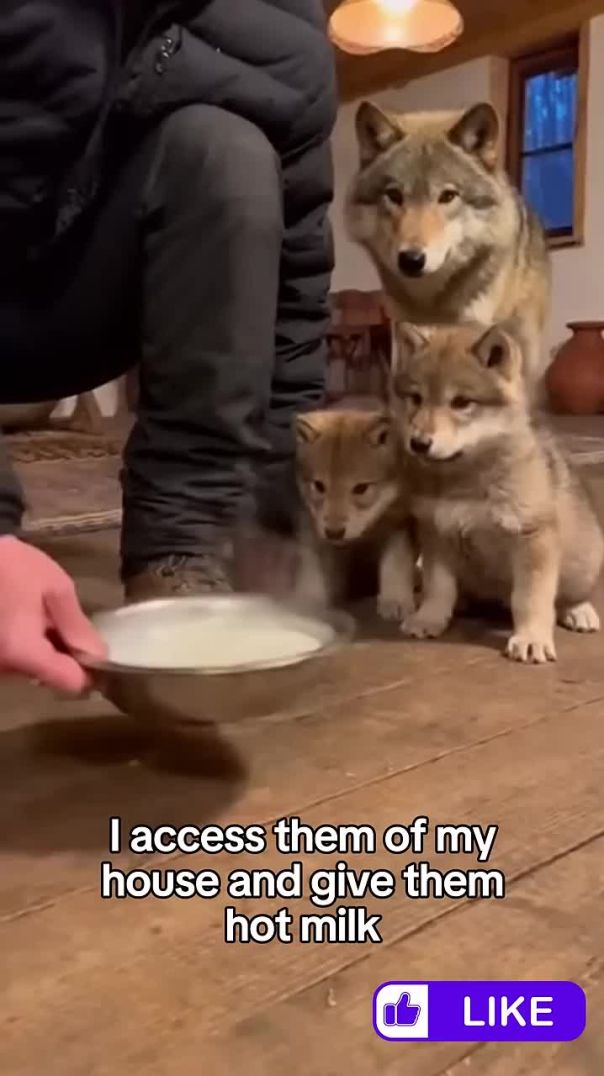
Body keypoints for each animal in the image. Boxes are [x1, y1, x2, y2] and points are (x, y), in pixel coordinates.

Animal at [294, 409, 416, 618]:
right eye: (319, 486)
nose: (334, 532)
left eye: (361, 488)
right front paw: (309, 602)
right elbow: (313, 570)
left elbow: (395, 564)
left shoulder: (399, 523)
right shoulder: (312, 526)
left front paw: (396, 600)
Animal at [390, 322, 603, 663]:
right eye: (416, 398)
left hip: (582, 562)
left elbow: (531, 598)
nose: (419, 443)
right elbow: (439, 586)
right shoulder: (437, 533)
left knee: (570, 595)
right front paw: (429, 618)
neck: (467, 482)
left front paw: (531, 638)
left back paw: (578, 611)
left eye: (461, 402)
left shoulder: (532, 538)